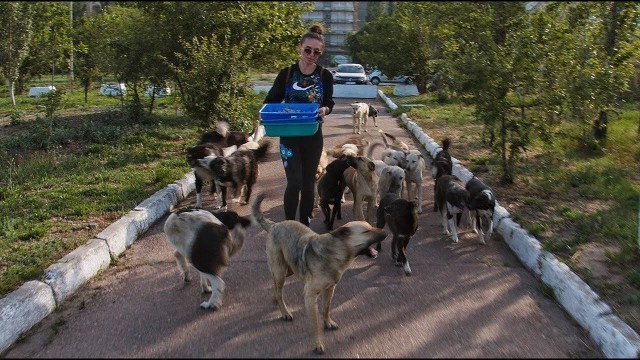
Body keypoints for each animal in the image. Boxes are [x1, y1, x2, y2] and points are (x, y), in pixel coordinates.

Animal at [252, 193, 388, 356]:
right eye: (366, 231)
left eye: (371, 227)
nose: (387, 232)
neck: (336, 251)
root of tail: (274, 225)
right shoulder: (310, 297)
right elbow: (315, 325)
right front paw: (318, 344)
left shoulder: (330, 289)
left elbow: (326, 309)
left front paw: (328, 322)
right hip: (280, 271)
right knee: (279, 291)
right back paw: (284, 312)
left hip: (288, 270)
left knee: (276, 288)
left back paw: (275, 299)